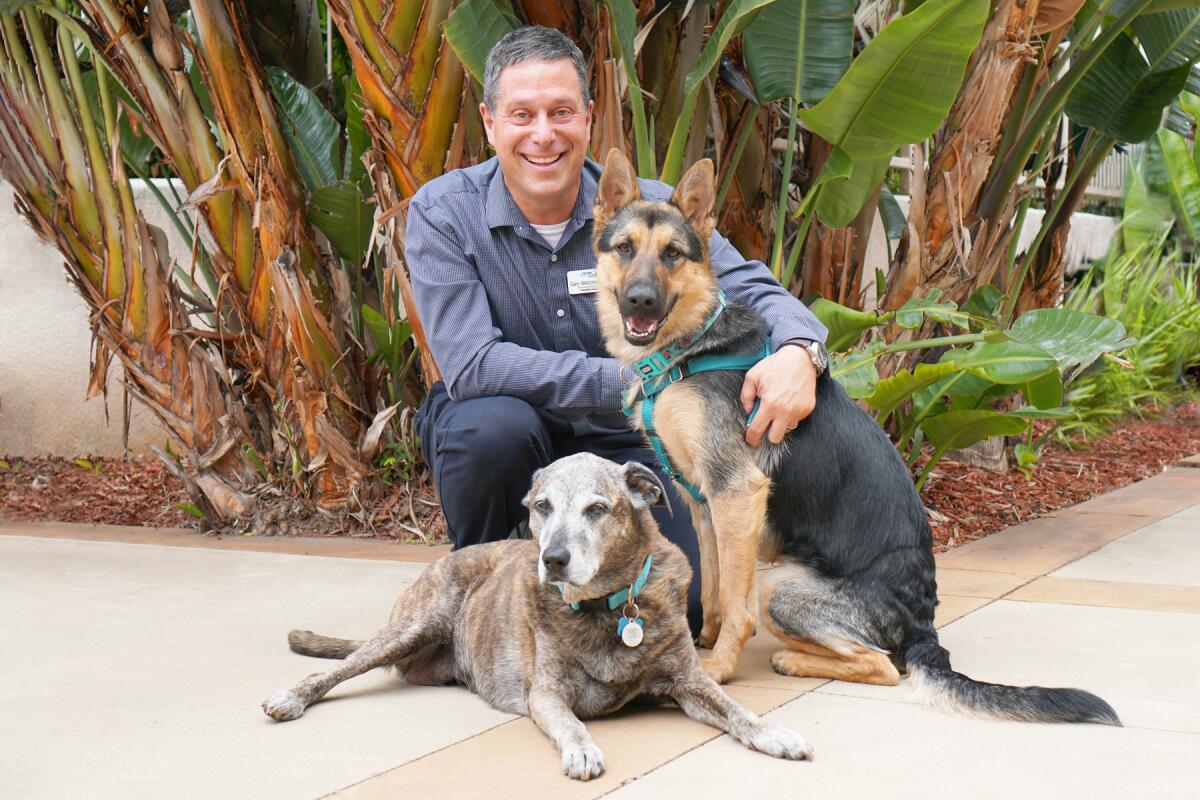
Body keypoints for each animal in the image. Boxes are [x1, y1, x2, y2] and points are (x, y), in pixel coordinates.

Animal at [262, 455, 816, 782]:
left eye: (597, 508)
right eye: (542, 506)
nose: (552, 559)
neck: (606, 607)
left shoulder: (687, 681)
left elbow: (738, 711)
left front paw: (775, 734)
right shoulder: (547, 693)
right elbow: (570, 724)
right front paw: (582, 750)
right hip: (416, 624)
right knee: (337, 668)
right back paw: (291, 697)